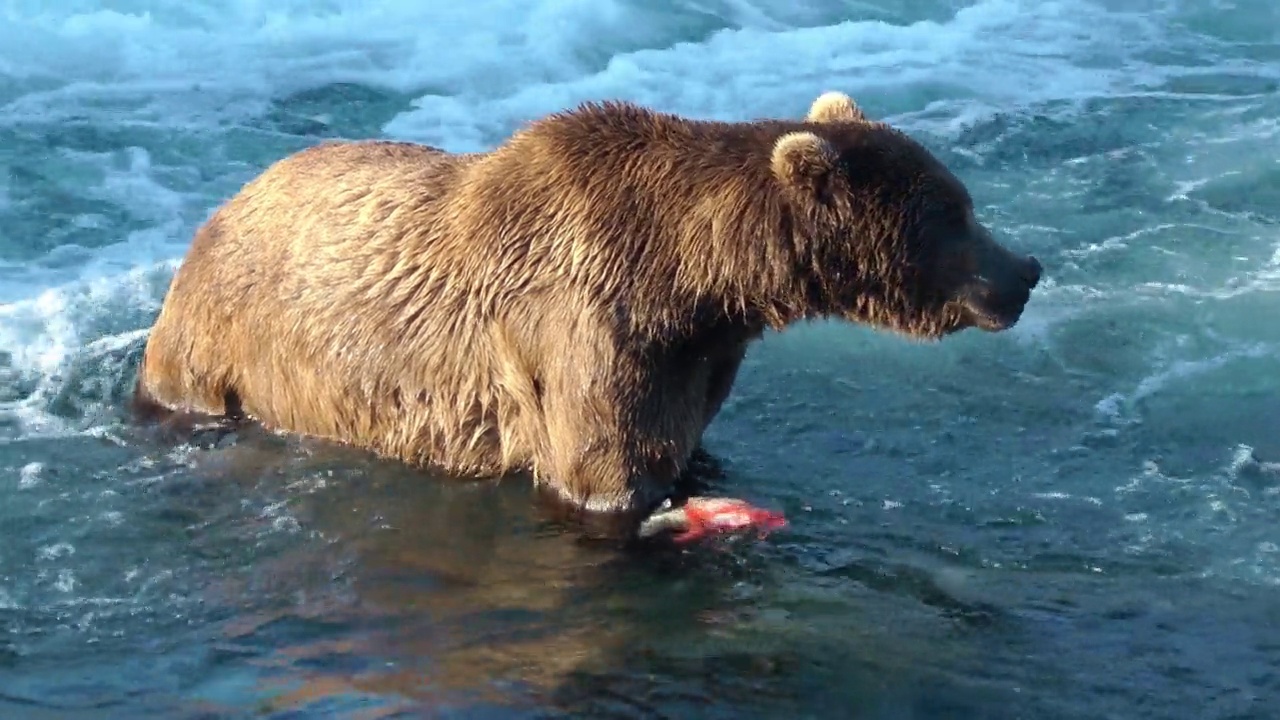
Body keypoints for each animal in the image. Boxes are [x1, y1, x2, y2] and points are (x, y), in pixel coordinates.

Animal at [135, 89, 1044, 527]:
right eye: (956, 212)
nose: (1027, 269)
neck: (693, 275)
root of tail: (219, 208)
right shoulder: (583, 327)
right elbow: (602, 469)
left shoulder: (695, 351)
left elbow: (680, 436)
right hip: (233, 342)